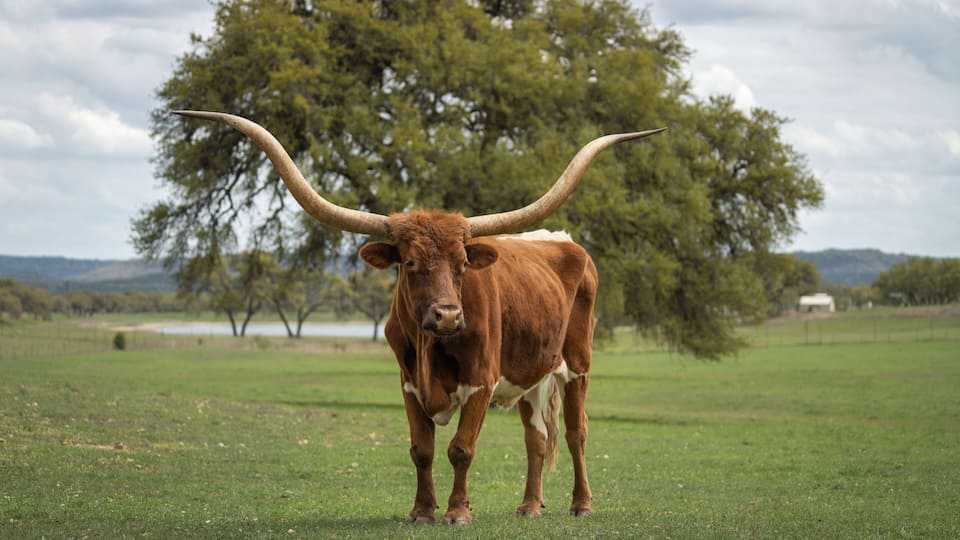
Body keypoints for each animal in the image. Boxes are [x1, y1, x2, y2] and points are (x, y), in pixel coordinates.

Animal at [173, 110, 664, 524]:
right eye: (409, 263)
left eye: (463, 264)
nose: (447, 314)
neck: (433, 346)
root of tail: (563, 239)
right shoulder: (408, 384)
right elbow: (421, 450)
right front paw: (422, 512)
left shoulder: (482, 381)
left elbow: (461, 449)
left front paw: (458, 512)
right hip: (530, 375)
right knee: (537, 437)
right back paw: (529, 506)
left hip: (578, 362)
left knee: (577, 431)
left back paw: (581, 505)